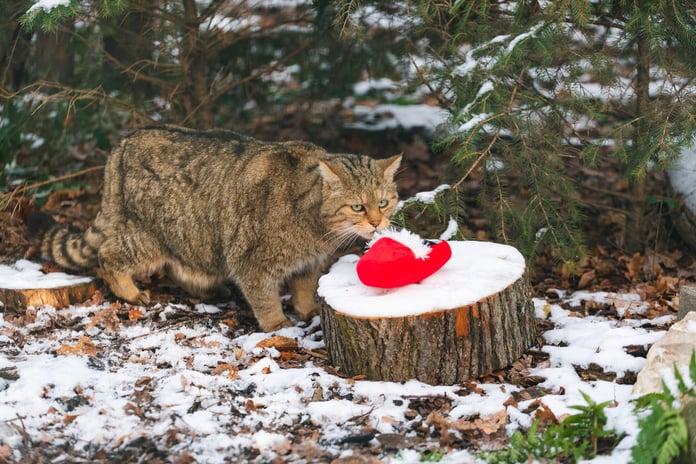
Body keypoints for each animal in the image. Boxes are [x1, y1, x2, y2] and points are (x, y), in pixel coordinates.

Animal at [28, 125, 402, 332]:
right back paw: (130, 292)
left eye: (384, 202)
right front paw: (278, 325)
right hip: (148, 237)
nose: (377, 222)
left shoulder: (308, 263)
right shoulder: (252, 263)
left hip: (191, 238)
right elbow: (266, 299)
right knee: (108, 256)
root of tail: (123, 142)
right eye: (358, 206)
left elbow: (304, 288)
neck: (314, 226)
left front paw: (307, 310)